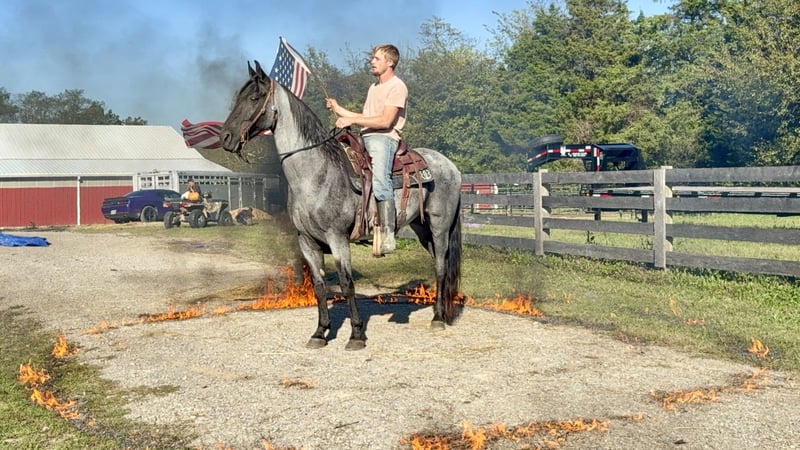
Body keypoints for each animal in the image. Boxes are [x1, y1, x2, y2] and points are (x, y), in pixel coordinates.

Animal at [219, 60, 463, 350]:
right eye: (238, 98)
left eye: (254, 98)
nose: (225, 137)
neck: (315, 173)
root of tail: (450, 166)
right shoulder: (307, 241)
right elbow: (319, 286)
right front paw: (319, 332)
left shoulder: (338, 238)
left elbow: (347, 284)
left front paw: (356, 334)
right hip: (421, 228)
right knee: (439, 263)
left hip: (439, 227)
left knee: (441, 267)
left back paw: (438, 318)